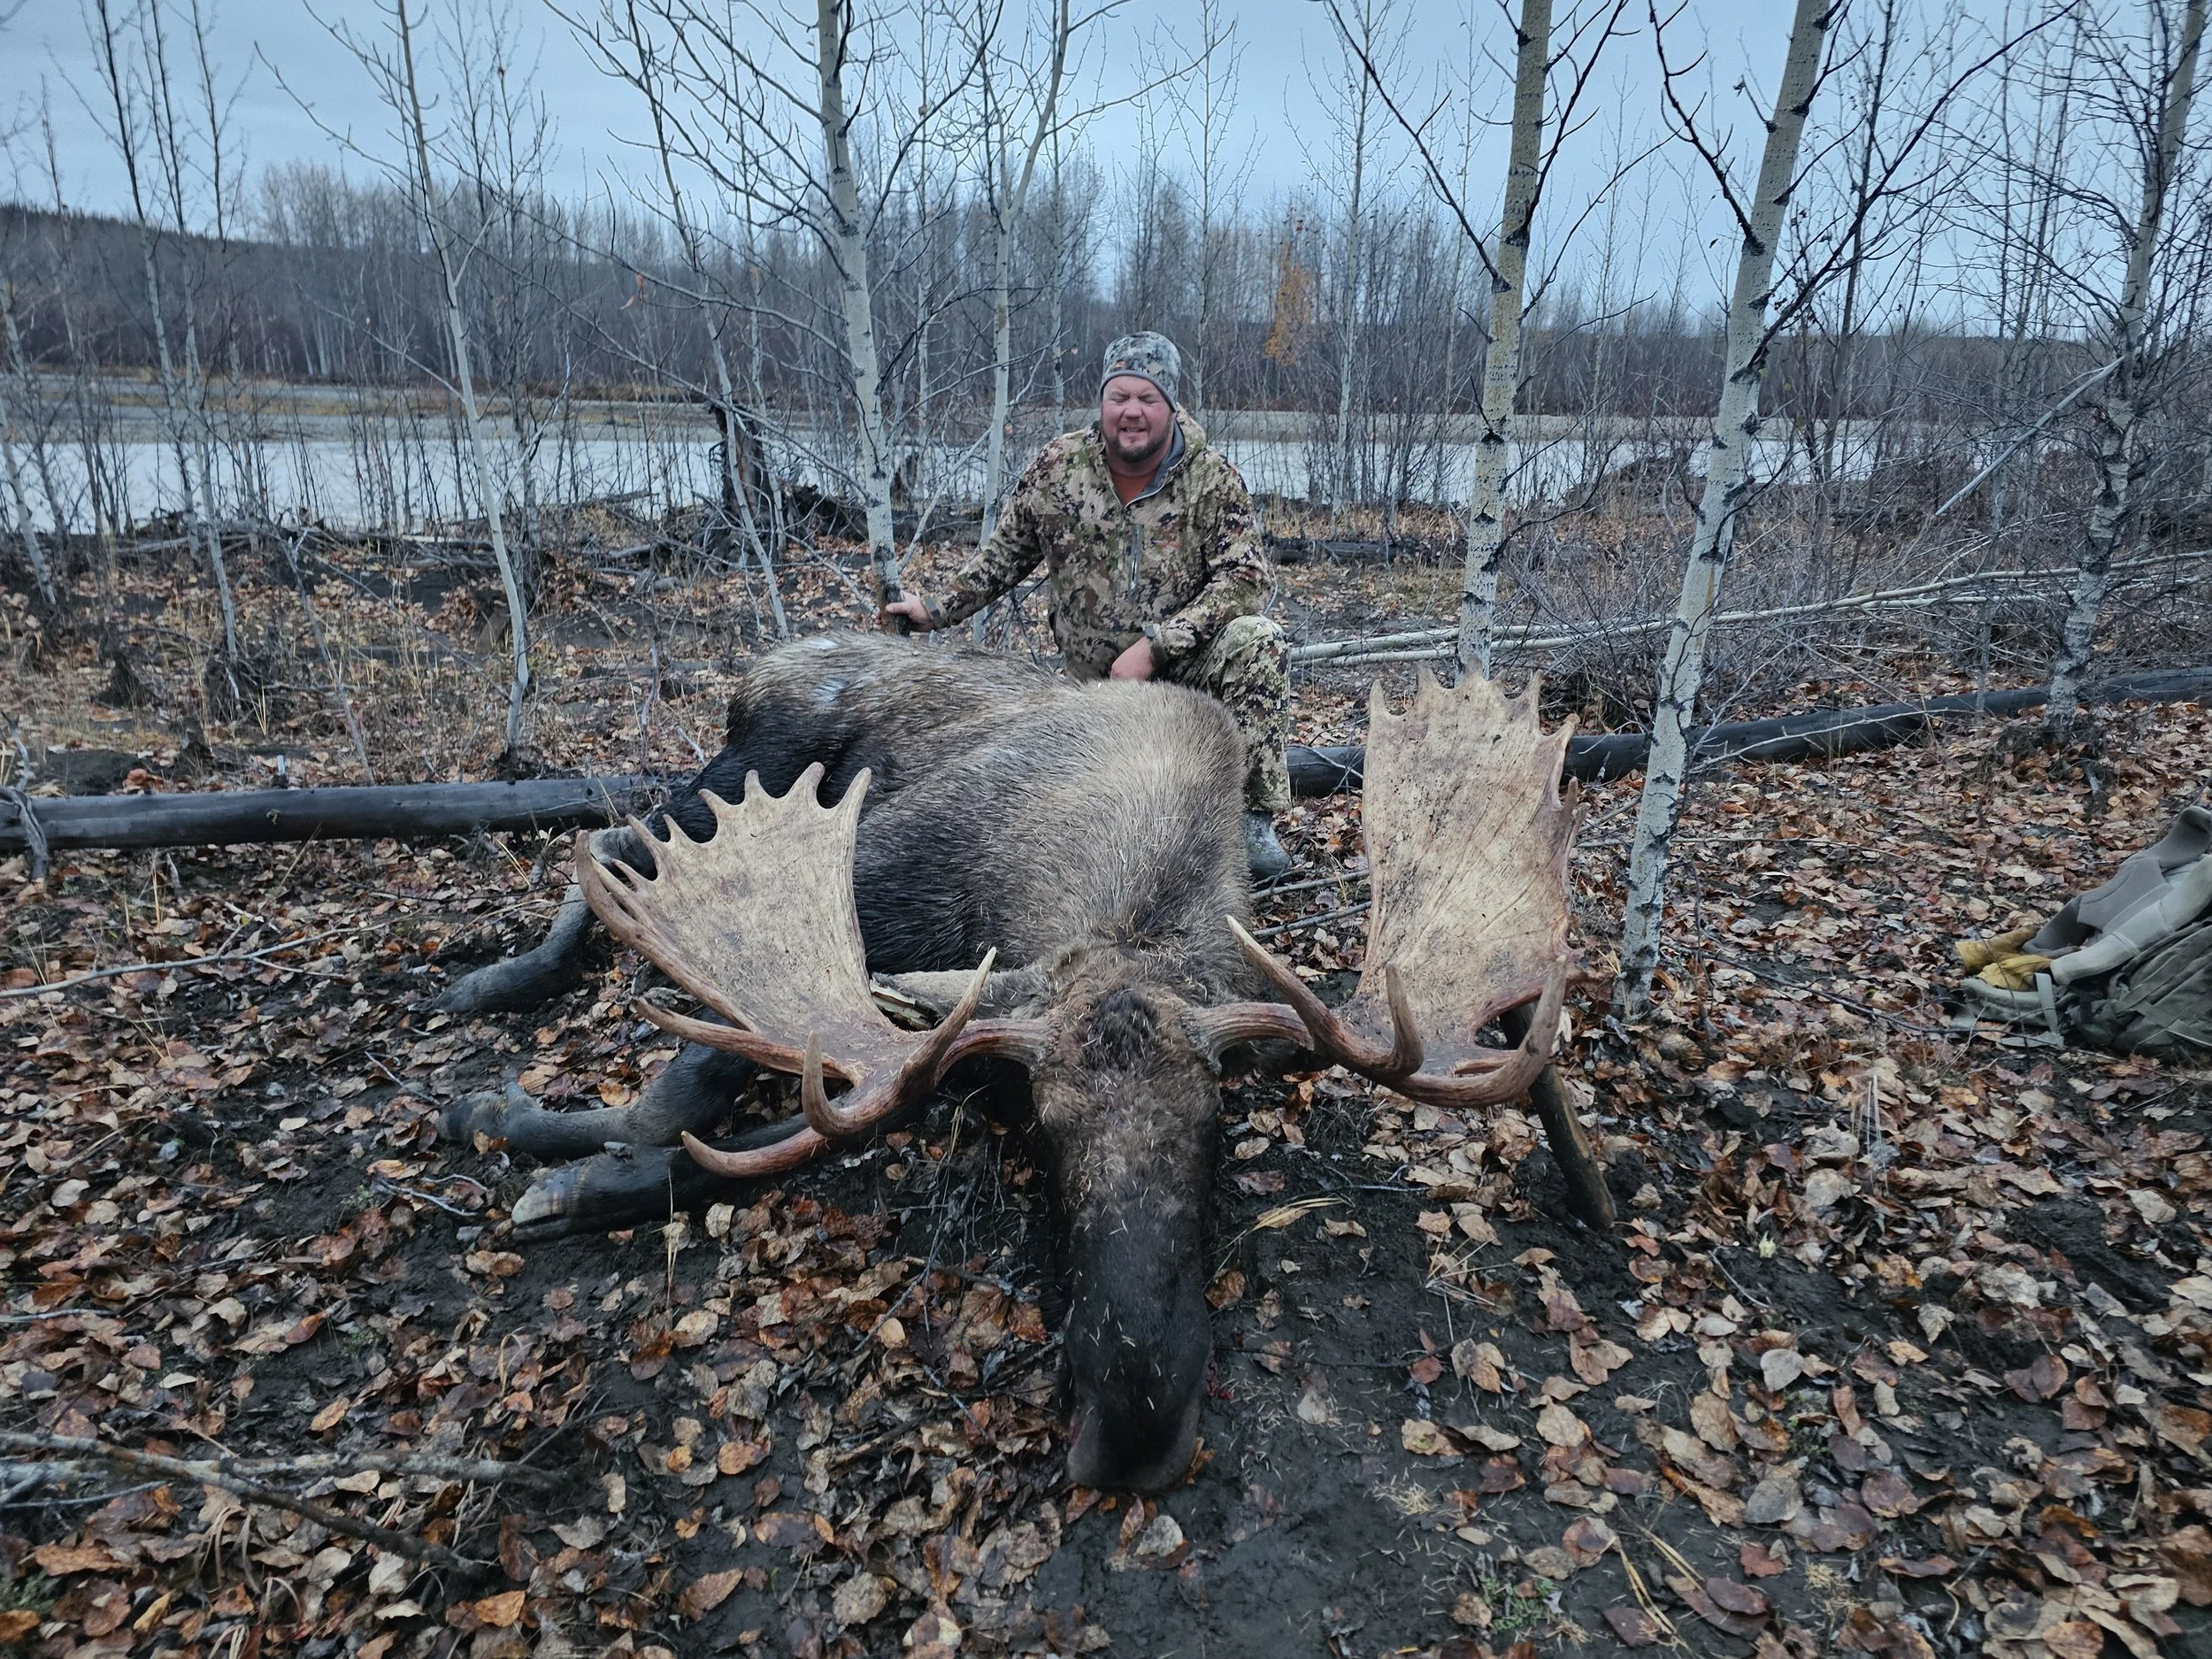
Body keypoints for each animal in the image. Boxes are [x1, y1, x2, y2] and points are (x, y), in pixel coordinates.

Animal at [435, 632, 1584, 1491]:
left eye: (1214, 1121)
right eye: (1040, 1122)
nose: (1133, 1424)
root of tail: (764, 665)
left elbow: (772, 1123)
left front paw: (571, 1167)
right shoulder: (876, 872)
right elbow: (688, 1089)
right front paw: (527, 1138)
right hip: (735, 778)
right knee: (611, 849)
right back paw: (495, 977)